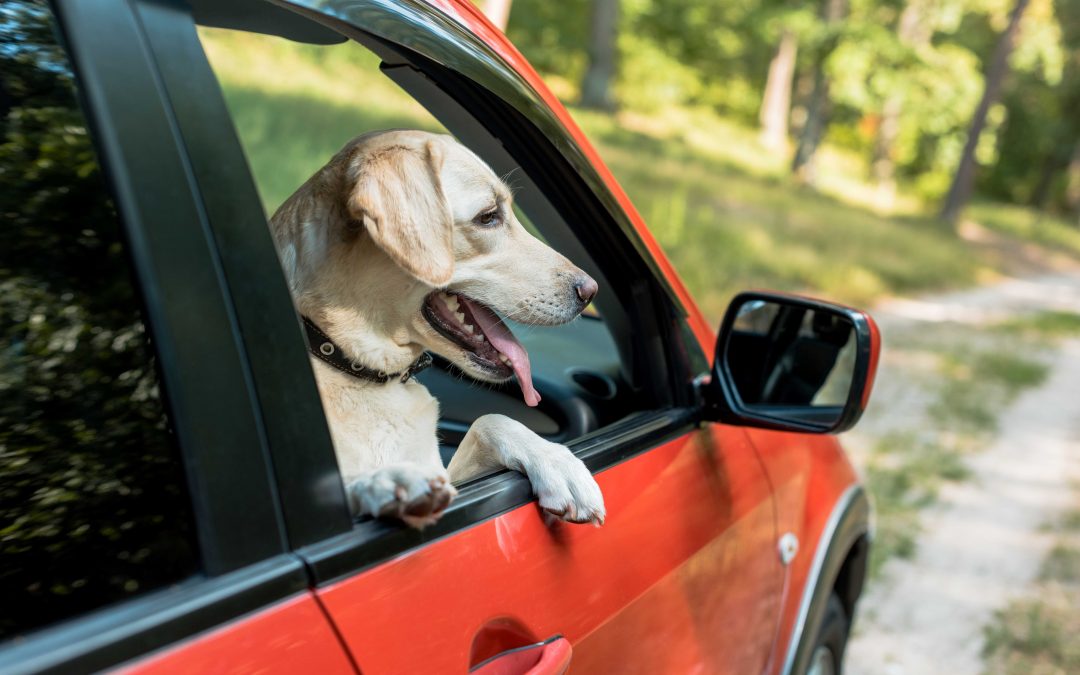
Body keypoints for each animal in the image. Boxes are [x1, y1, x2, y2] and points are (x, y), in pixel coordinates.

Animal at [270, 130, 609, 527]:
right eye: (488, 216)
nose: (590, 291)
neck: (364, 372)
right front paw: (387, 481)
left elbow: (491, 420)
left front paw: (558, 462)